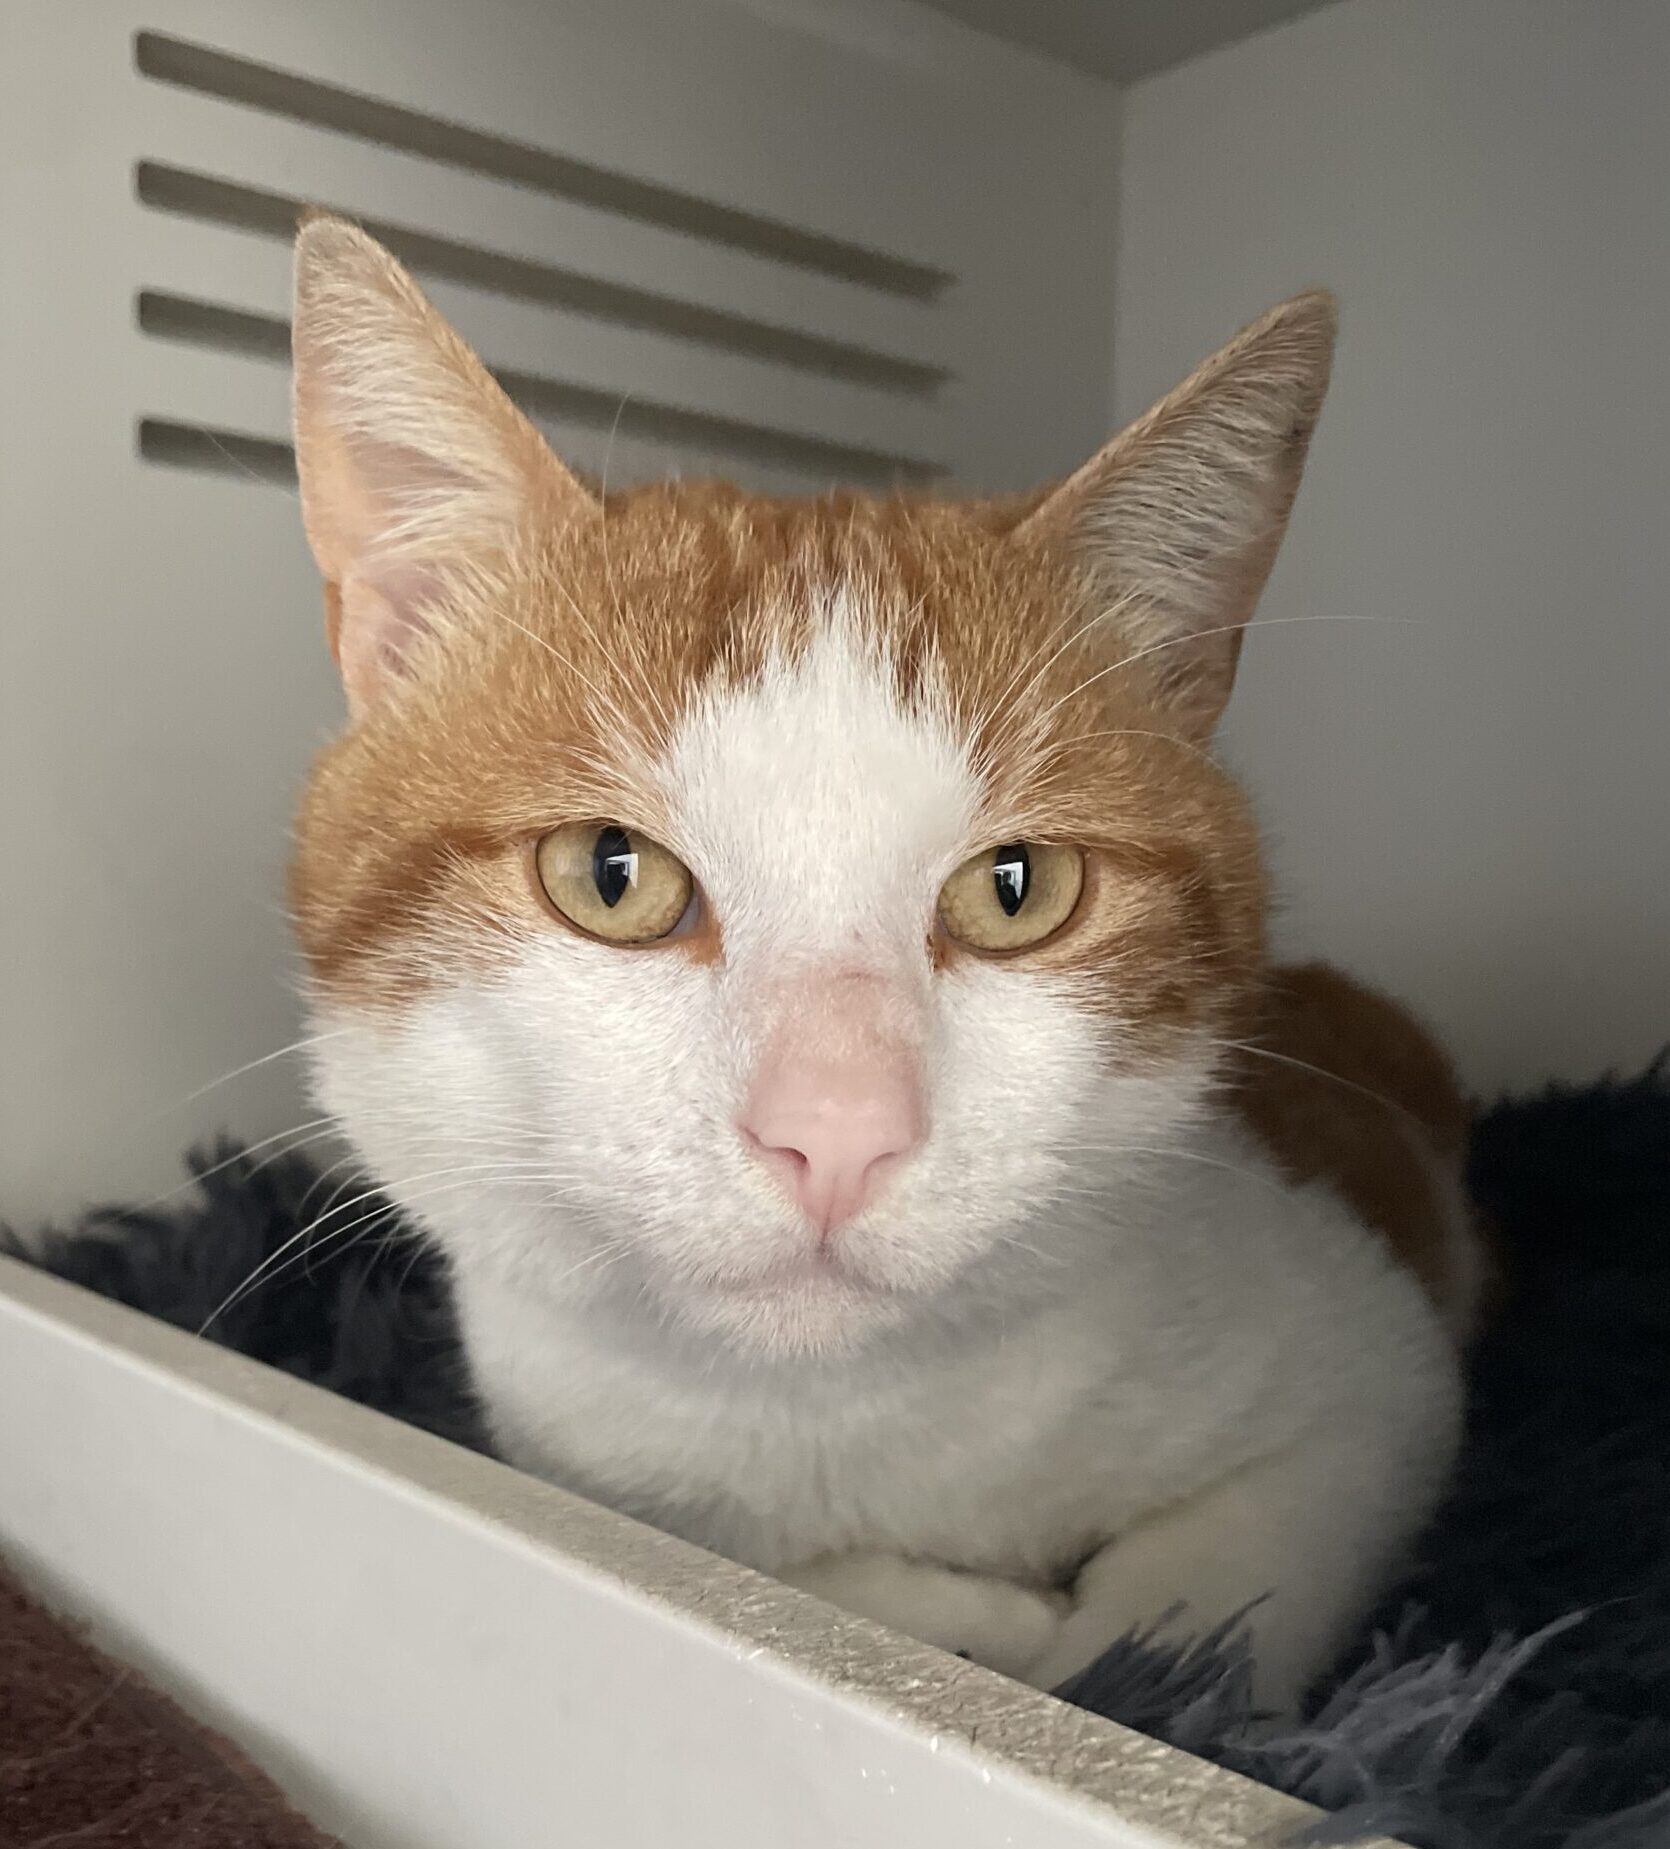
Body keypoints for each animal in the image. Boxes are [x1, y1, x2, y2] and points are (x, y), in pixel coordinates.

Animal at [286, 213, 1481, 1707]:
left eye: (1016, 889)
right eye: (610, 873)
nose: (838, 1131)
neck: (828, 1421)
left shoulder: (1378, 1375)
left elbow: (1215, 1597)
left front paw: (1091, 1651)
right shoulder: (569, 1460)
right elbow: (773, 1577)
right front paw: (969, 1620)